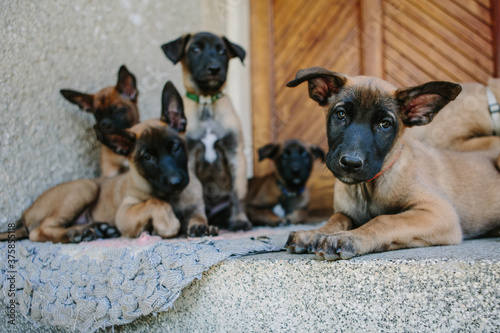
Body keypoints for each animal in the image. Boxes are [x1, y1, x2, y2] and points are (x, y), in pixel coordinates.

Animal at [1, 80, 217, 241]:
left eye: (176, 148)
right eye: (147, 157)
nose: (176, 182)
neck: (172, 196)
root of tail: (24, 215)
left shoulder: (195, 207)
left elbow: (198, 216)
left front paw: (201, 227)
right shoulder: (125, 214)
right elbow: (156, 203)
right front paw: (167, 225)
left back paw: (98, 229)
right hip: (85, 187)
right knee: (38, 231)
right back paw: (76, 233)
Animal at [162, 33, 252, 231]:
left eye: (222, 51)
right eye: (195, 50)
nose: (214, 68)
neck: (206, 103)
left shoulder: (235, 155)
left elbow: (238, 193)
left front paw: (239, 220)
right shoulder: (189, 161)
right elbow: (195, 199)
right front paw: (198, 223)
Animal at [286, 67, 500, 260]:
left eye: (385, 124)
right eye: (341, 114)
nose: (351, 163)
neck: (367, 189)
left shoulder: (439, 212)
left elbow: (384, 220)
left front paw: (349, 238)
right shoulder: (345, 213)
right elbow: (336, 218)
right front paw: (314, 233)